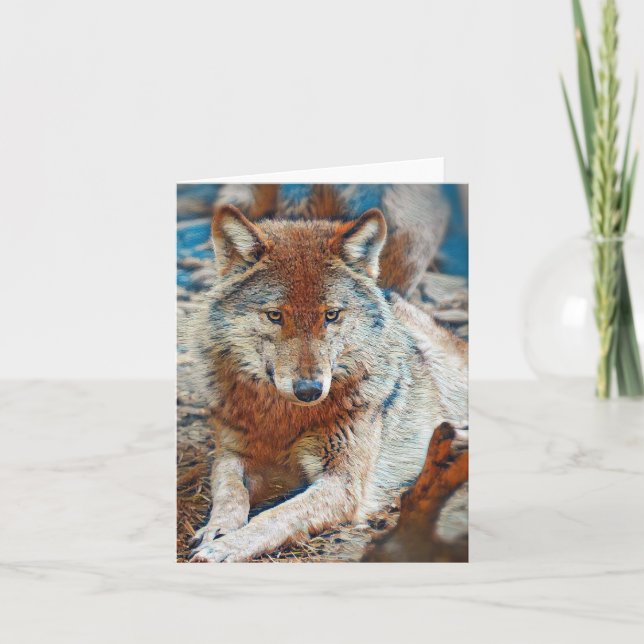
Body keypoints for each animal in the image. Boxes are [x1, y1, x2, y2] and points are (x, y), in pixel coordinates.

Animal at [187, 185, 467, 562]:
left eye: (331, 315)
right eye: (275, 315)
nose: (309, 389)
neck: (285, 419)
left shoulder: (342, 483)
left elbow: (276, 516)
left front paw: (226, 548)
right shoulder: (233, 454)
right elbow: (229, 490)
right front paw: (217, 529)